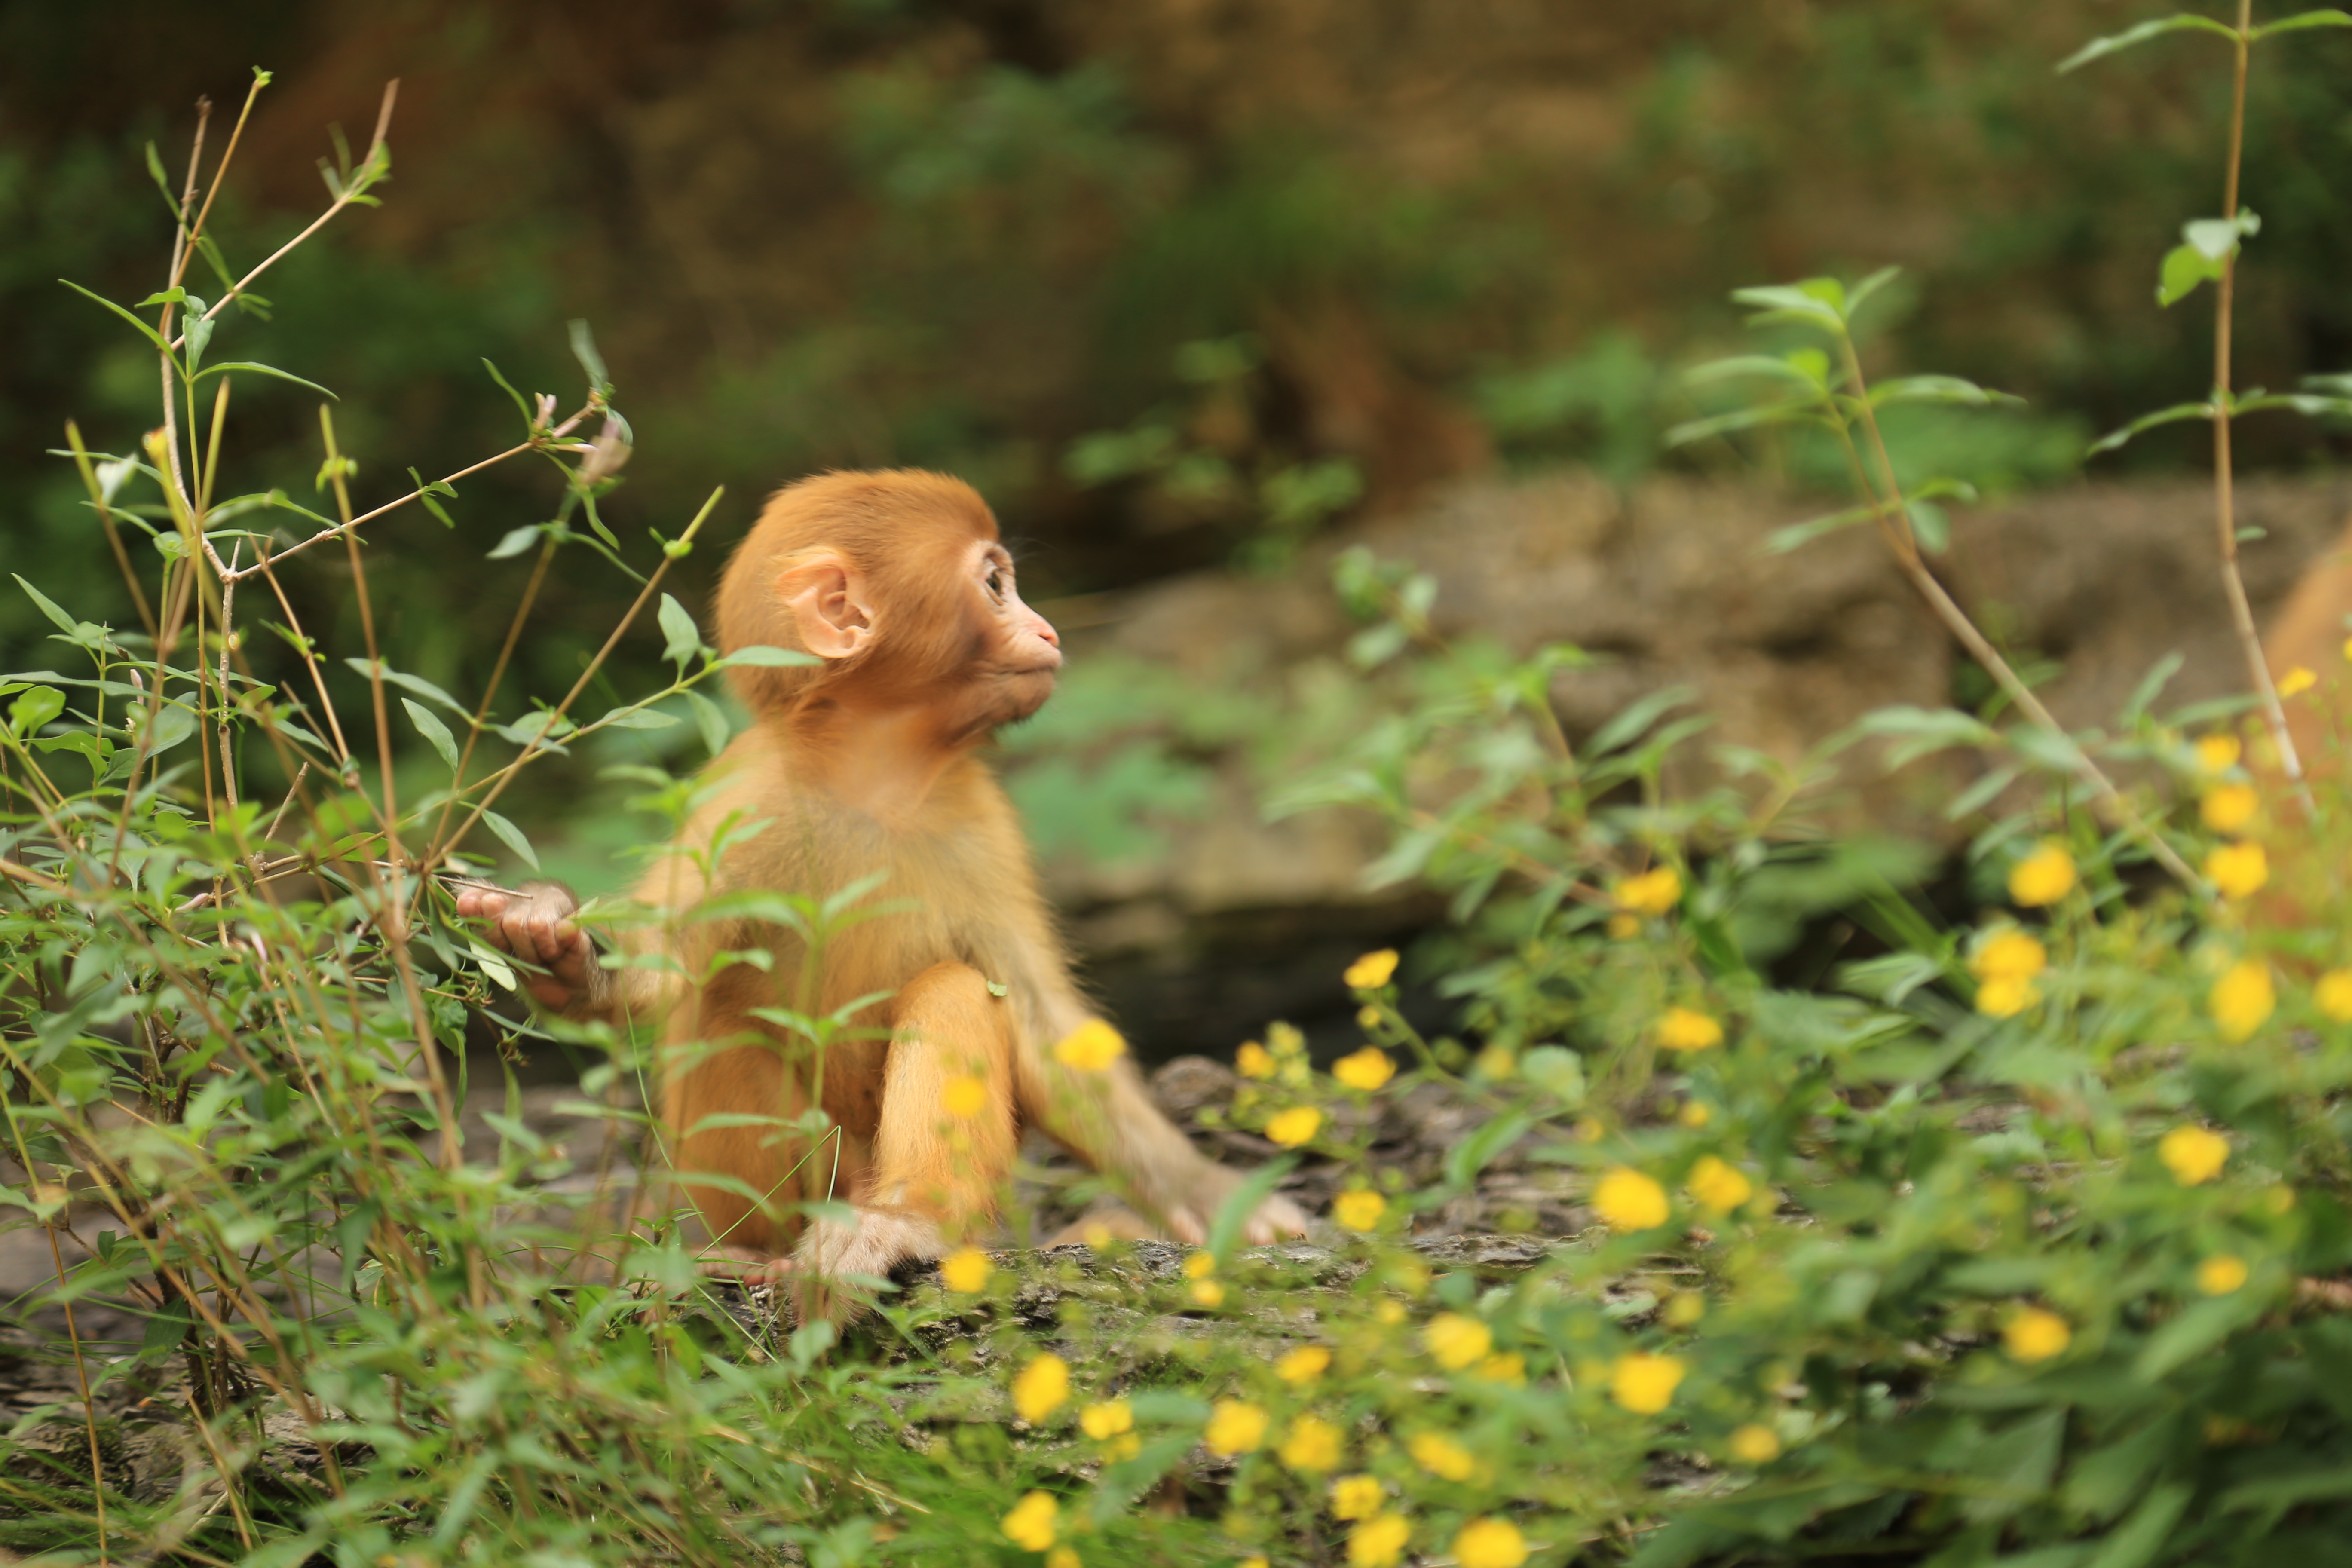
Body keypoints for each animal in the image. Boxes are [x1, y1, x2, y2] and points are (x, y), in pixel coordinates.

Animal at [459, 472, 1308, 1316]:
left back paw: (905, 1218)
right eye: (995, 585)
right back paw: (750, 1252)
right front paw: (559, 952)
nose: (1048, 631)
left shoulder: (984, 827)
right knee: (723, 1013)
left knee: (956, 988)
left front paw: (1209, 1195)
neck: (877, 779)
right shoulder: (741, 800)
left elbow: (1045, 1032)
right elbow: (656, 976)